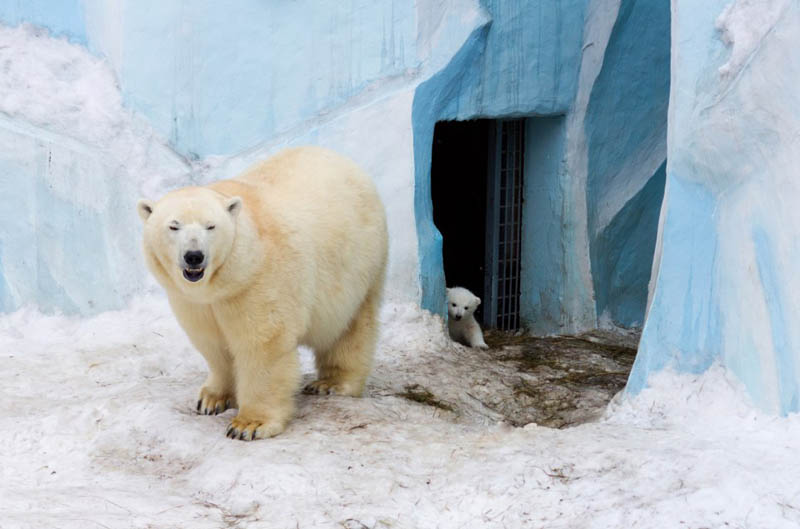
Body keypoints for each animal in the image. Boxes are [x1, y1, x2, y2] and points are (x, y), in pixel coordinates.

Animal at [138, 146, 388, 440]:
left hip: (358, 264)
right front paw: (211, 399)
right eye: (173, 226)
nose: (194, 256)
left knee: (350, 325)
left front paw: (248, 425)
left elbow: (262, 344)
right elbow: (213, 345)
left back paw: (331, 383)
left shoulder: (257, 282)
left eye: (211, 226)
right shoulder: (195, 302)